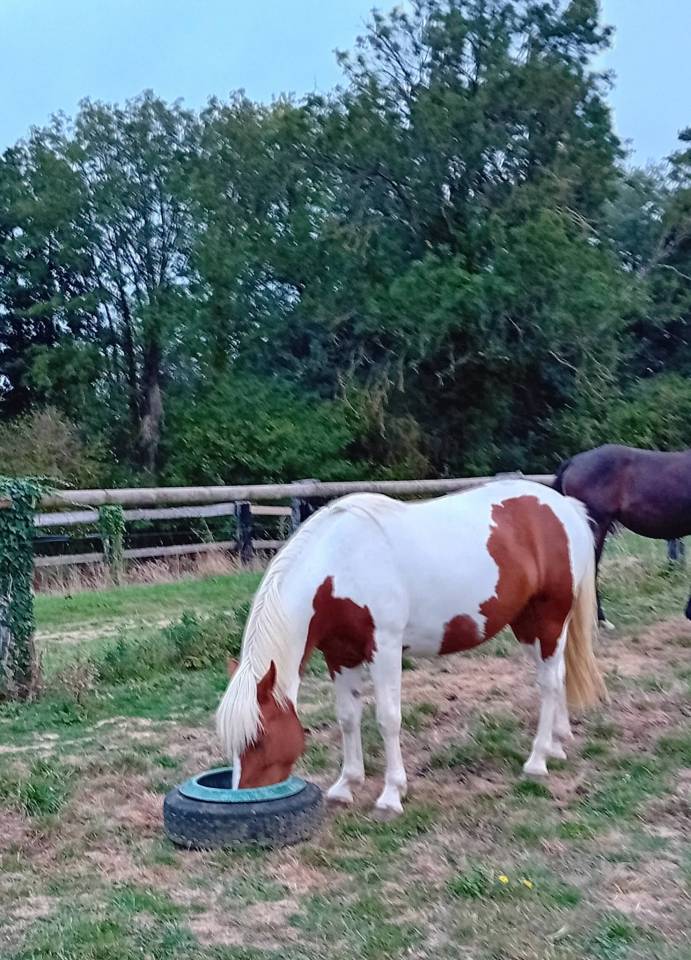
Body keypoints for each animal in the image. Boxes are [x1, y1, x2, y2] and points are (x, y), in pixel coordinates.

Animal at [216, 479, 606, 818]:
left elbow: (388, 719)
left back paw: (538, 760)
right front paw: (346, 785)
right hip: (527, 626)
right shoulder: (340, 655)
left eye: (259, 739)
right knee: (555, 675)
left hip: (550, 619)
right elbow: (347, 717)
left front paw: (391, 795)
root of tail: (563, 507)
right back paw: (557, 743)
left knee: (549, 683)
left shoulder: (385, 649)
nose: (246, 799)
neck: (341, 565)